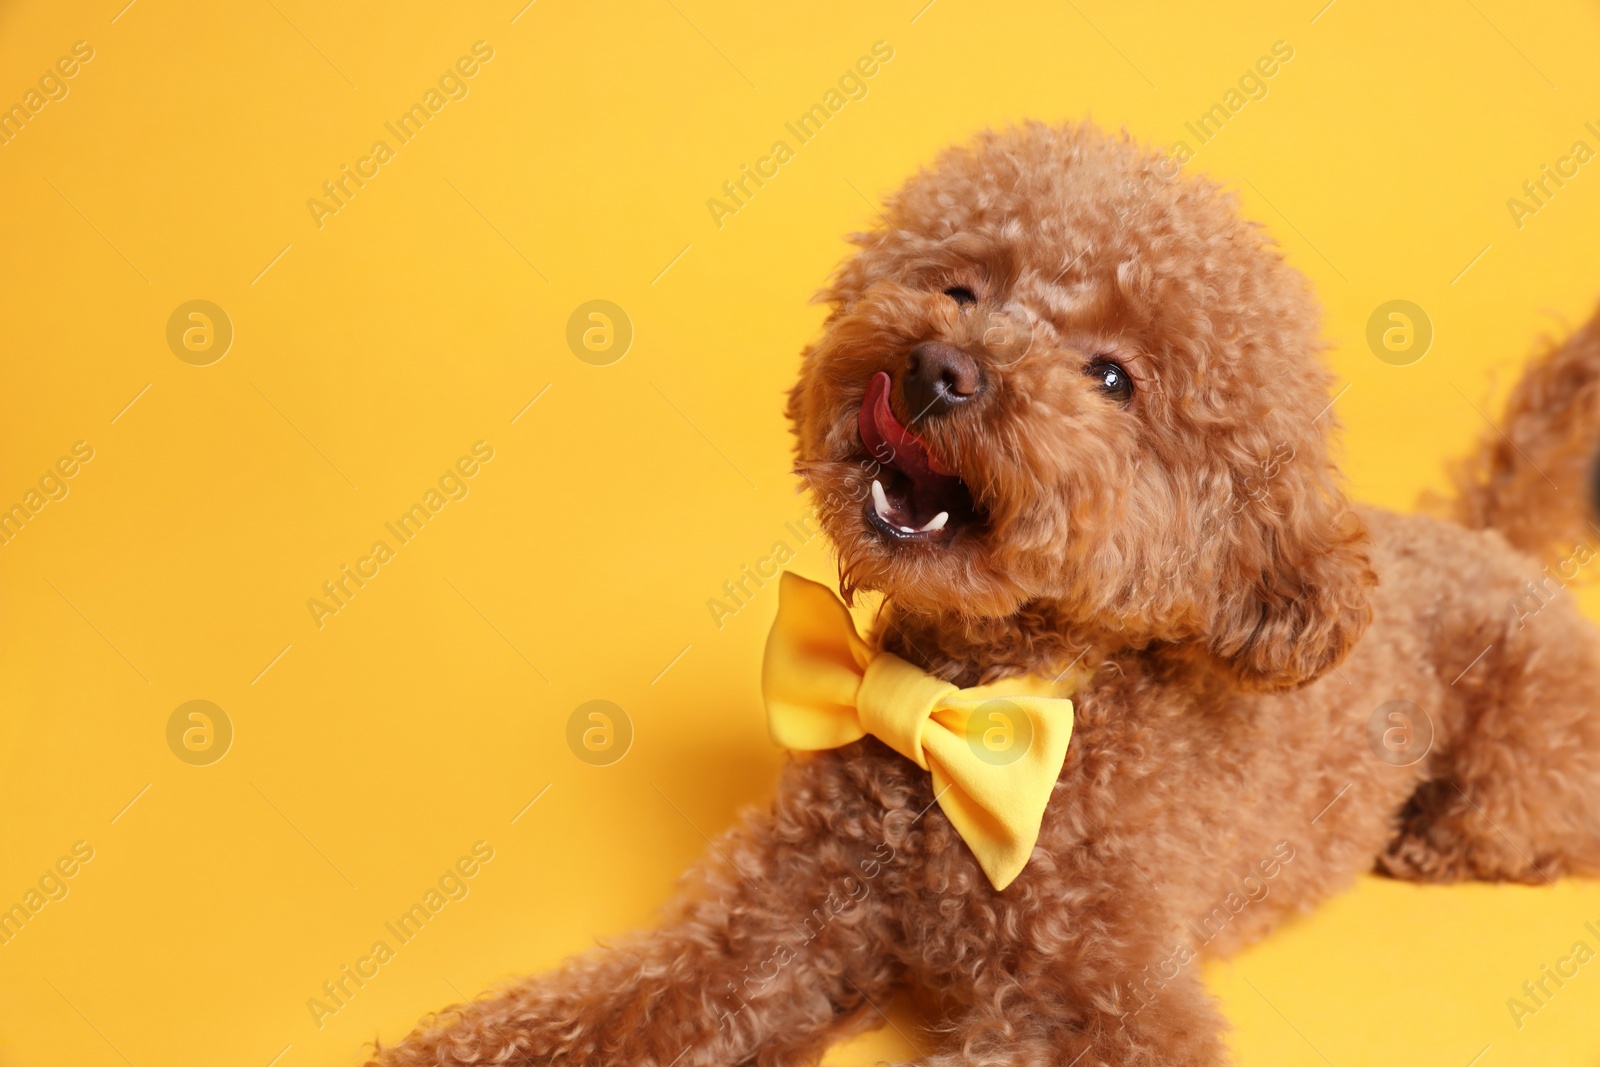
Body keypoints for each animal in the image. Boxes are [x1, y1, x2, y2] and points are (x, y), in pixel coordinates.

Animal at [363, 120, 1600, 1062]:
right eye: (958, 284)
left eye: (1112, 378)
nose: (937, 366)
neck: (970, 703)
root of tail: (1472, 533)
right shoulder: (764, 923)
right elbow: (618, 1000)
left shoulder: (1094, 1004)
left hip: (1526, 748)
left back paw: (1434, 838)